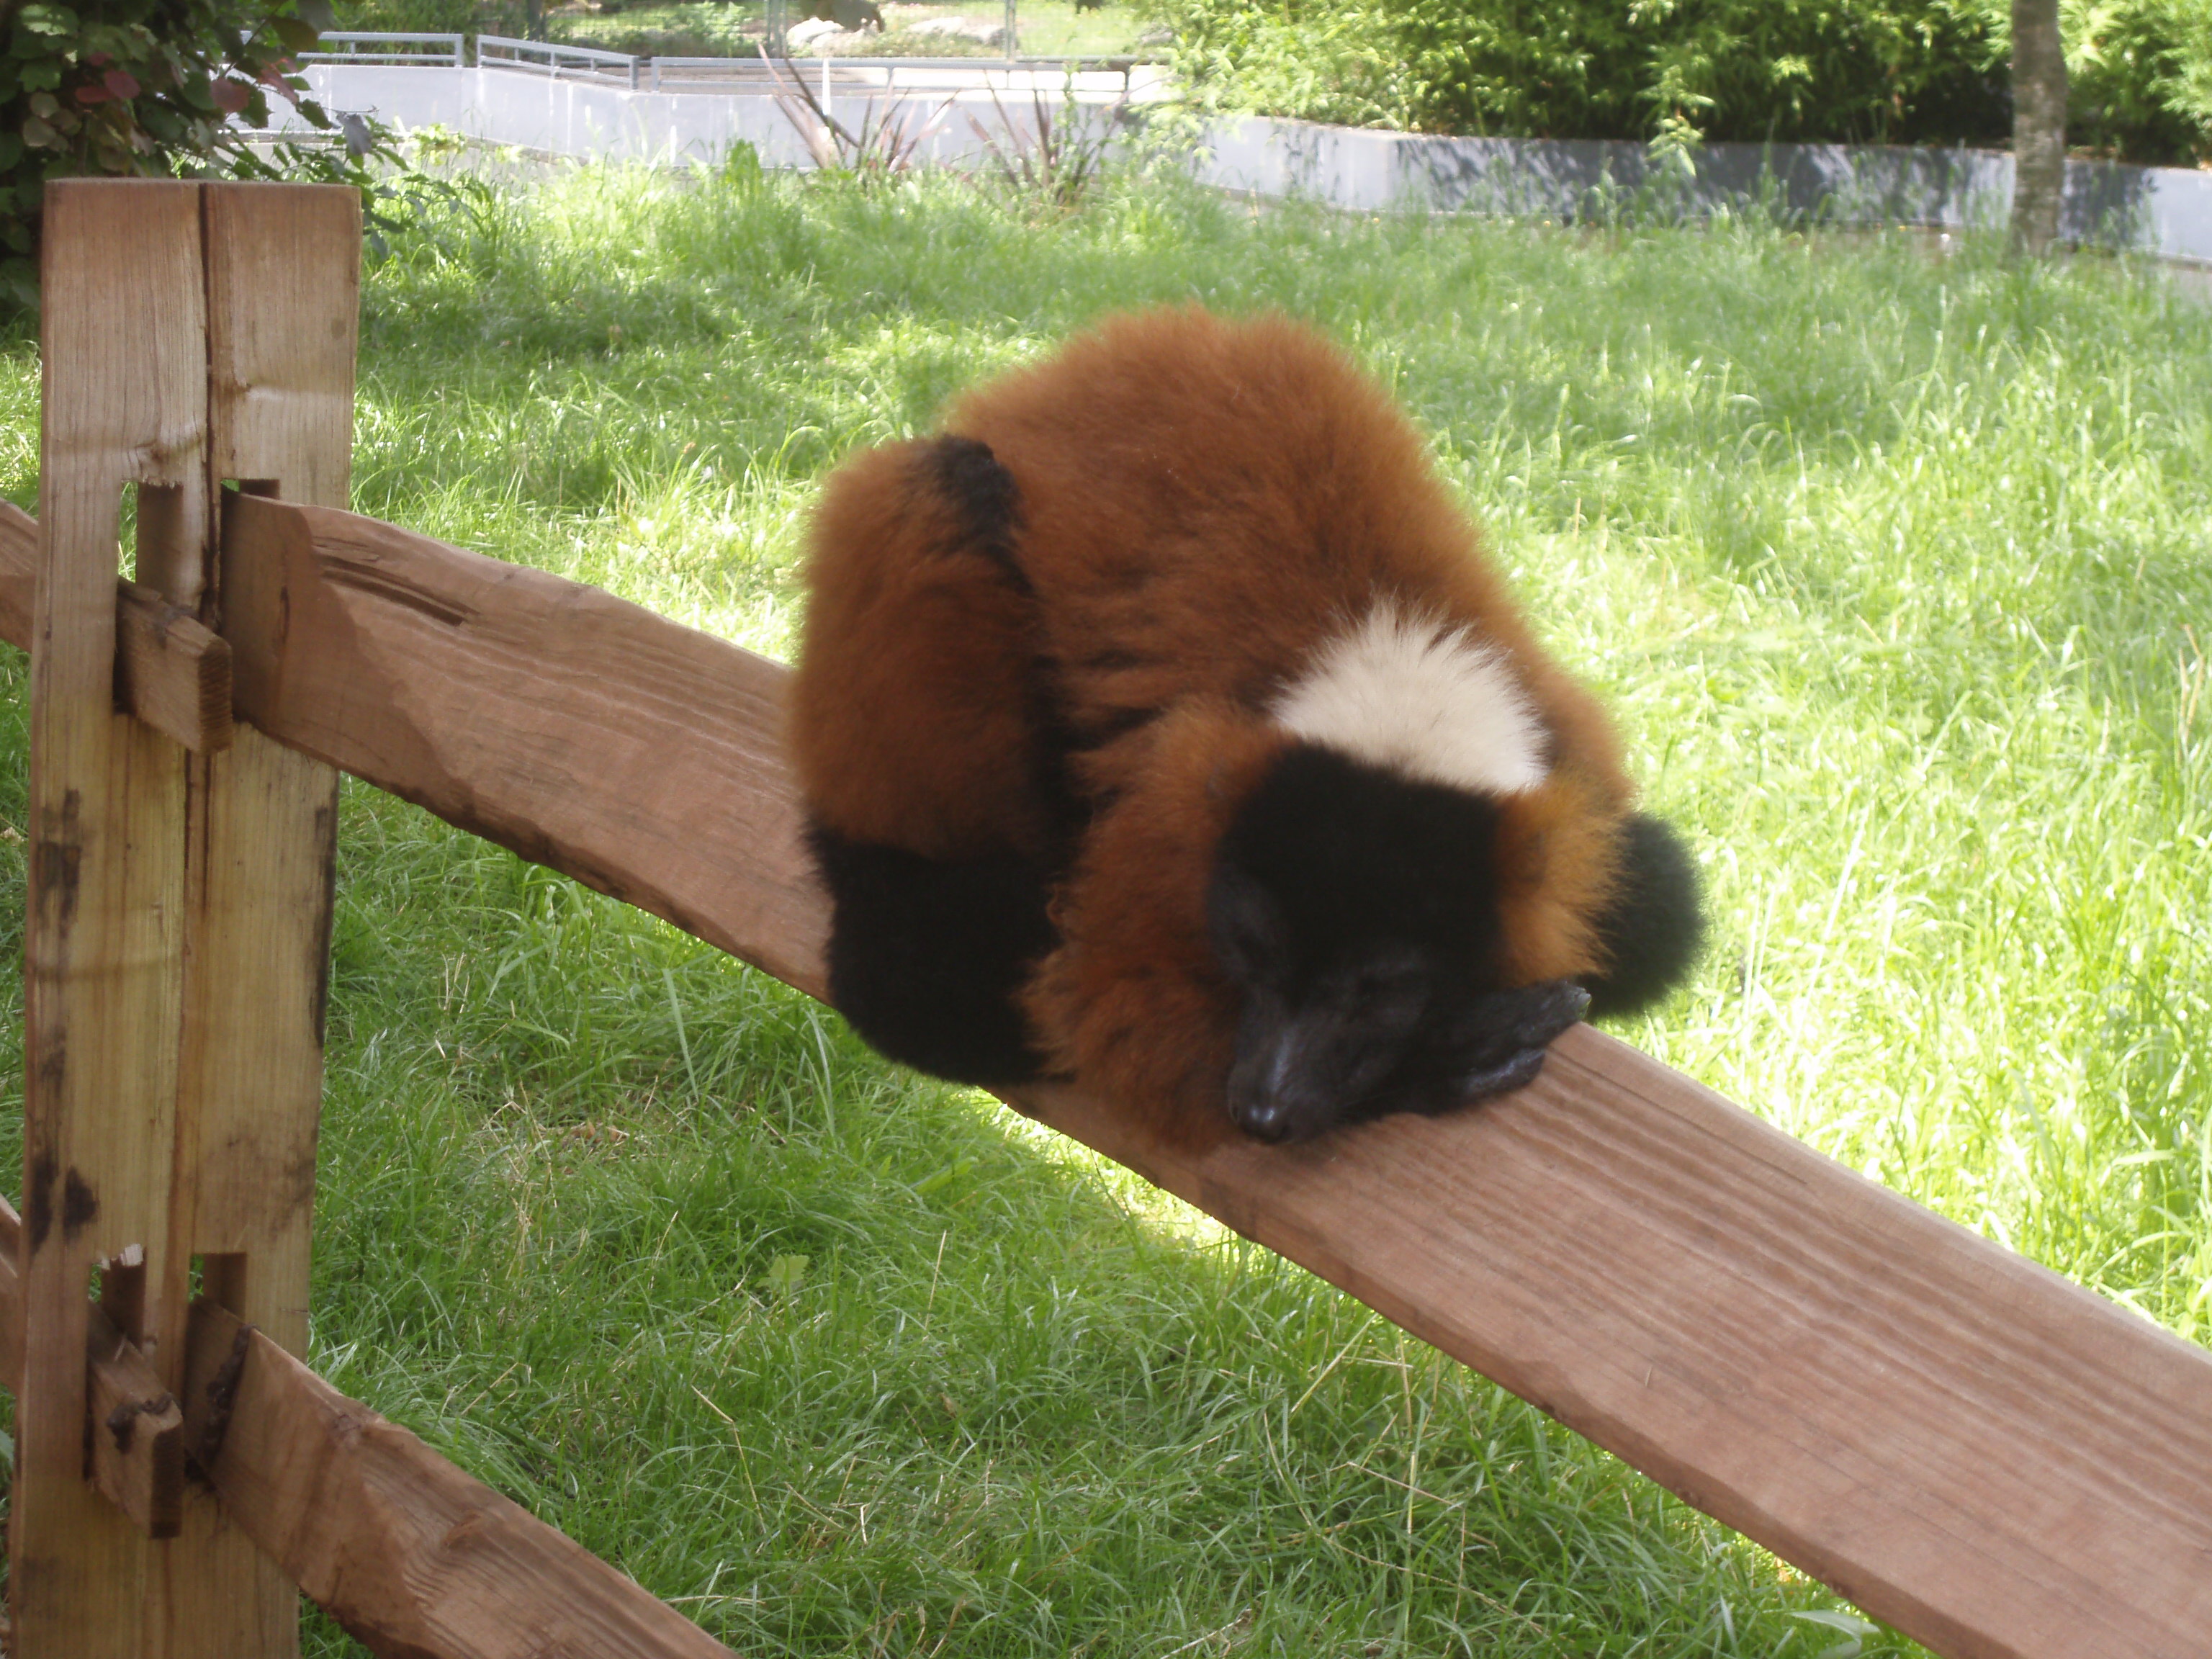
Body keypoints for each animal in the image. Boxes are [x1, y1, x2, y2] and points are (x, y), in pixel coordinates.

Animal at [787, 306, 1703, 1147]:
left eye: (1378, 993)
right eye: (1253, 950)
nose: (1264, 1108)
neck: (1393, 640)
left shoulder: (1563, 750)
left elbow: (1653, 909)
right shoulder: (1164, 821)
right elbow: (1108, 1015)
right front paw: (1437, 1060)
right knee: (940, 484)